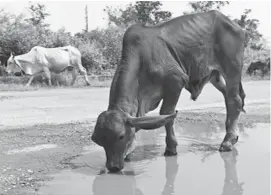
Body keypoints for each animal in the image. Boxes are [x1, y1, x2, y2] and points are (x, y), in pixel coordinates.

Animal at [91, 10, 246, 172]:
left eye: (120, 136)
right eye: (97, 140)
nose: (113, 167)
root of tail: (234, 25)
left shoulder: (176, 81)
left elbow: (166, 114)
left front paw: (171, 148)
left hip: (232, 69)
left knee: (234, 100)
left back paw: (227, 142)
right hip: (215, 76)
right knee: (229, 98)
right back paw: (232, 136)